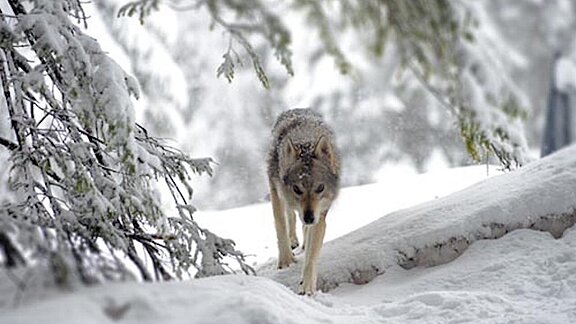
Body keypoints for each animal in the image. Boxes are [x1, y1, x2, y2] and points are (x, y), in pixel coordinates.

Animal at [266, 107, 340, 294]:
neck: (306, 141)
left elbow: (311, 257)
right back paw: (293, 241)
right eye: (297, 189)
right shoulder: (276, 191)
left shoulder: (320, 215)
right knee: (290, 216)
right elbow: (280, 226)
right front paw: (286, 262)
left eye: (320, 188)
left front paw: (307, 287)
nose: (309, 217)